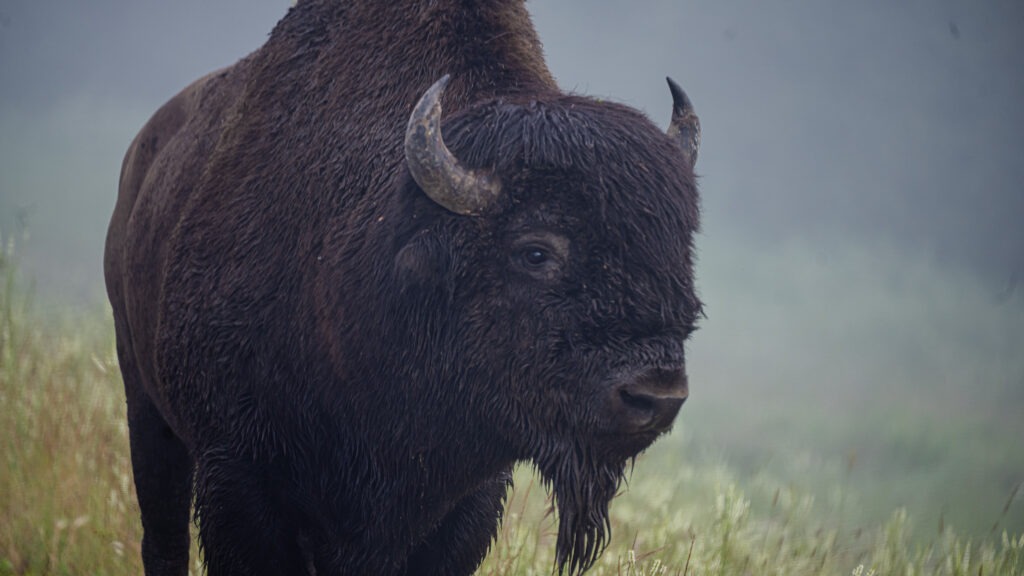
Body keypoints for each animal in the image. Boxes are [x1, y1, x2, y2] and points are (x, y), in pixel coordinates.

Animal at [104, 1, 702, 574]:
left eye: (677, 250)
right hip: (147, 410)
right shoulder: (238, 476)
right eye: (535, 251)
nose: (657, 395)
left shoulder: (465, 504)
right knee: (163, 541)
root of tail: (140, 155)